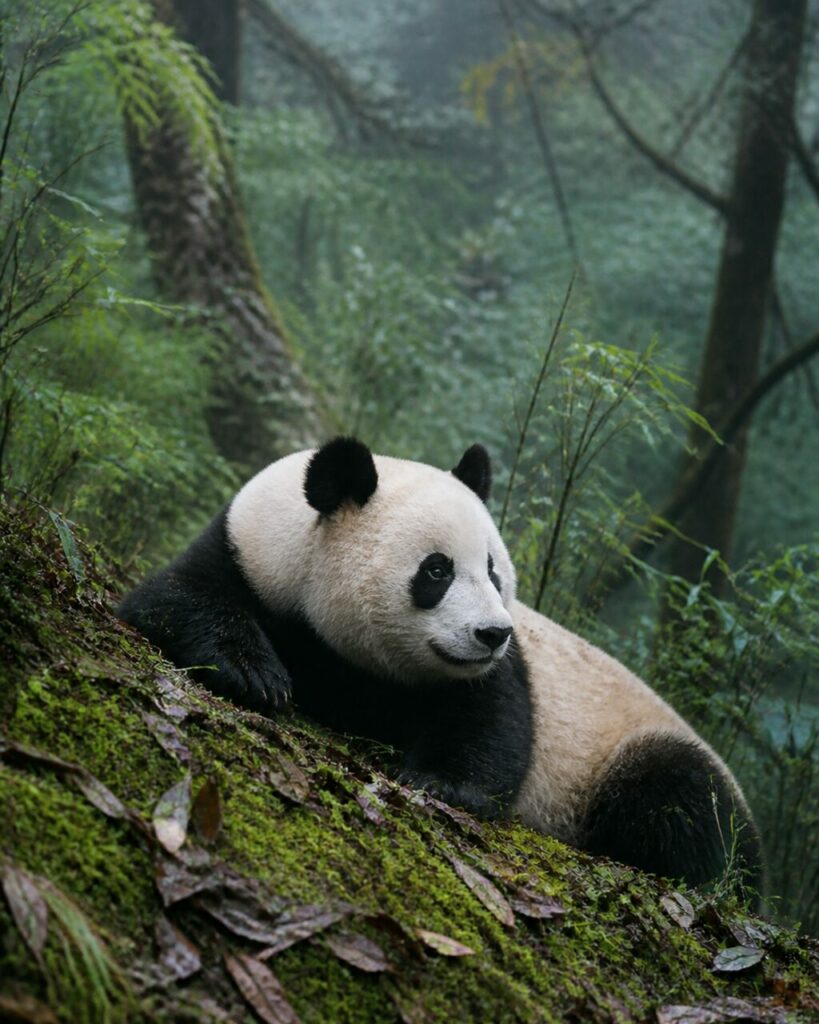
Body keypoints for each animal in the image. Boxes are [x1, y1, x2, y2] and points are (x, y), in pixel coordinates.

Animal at [119, 437, 761, 892]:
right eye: (437, 570)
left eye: (495, 570)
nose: (493, 633)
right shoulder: (246, 553)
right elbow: (173, 600)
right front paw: (256, 675)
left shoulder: (503, 671)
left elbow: (494, 723)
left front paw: (438, 781)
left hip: (636, 750)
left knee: (682, 802)